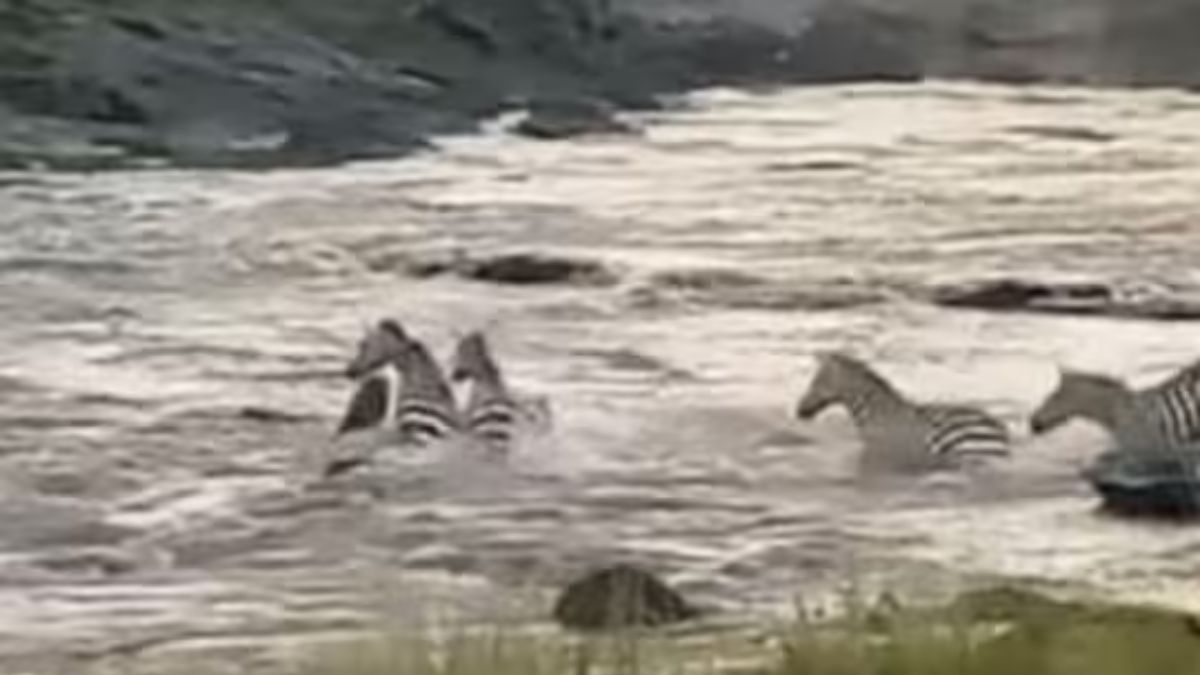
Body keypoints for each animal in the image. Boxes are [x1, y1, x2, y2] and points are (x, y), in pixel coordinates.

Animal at [794, 351, 1010, 472]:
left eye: (818, 381)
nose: (799, 412)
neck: (876, 413)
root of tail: (996, 426)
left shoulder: (879, 453)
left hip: (971, 454)